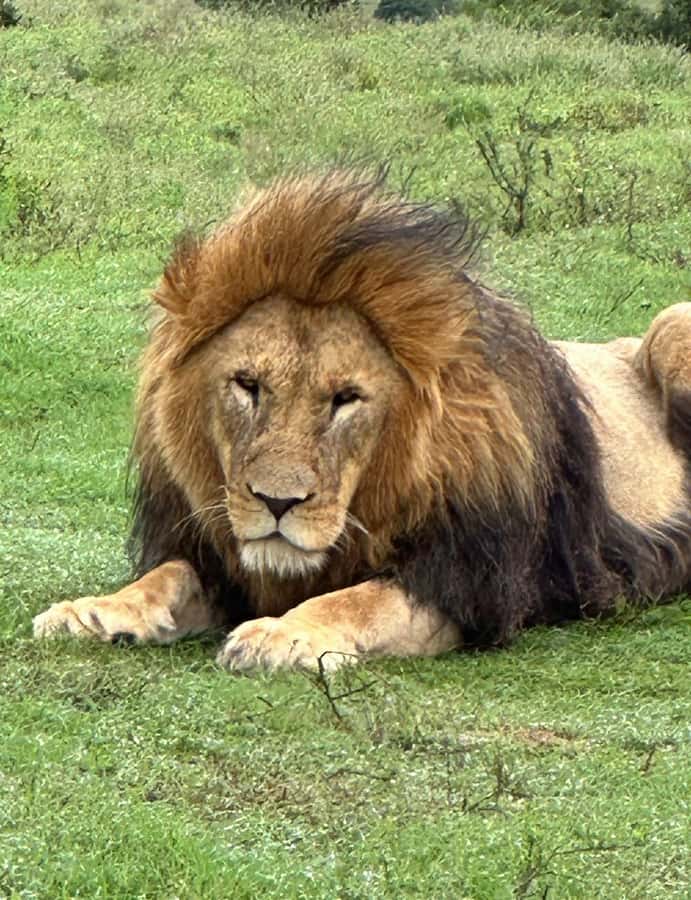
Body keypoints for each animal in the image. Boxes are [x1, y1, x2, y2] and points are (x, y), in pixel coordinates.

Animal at [33, 170, 691, 672]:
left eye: (345, 399)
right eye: (248, 386)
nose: (277, 502)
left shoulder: (469, 586)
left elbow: (358, 601)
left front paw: (281, 633)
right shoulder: (218, 559)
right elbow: (165, 577)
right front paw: (92, 611)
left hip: (672, 324)